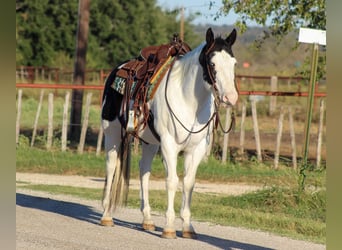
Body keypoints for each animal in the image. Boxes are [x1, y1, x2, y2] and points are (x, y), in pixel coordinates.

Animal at [99, 26, 238, 238]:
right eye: (212, 63)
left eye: (234, 63)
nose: (231, 97)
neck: (189, 101)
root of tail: (118, 69)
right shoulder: (169, 145)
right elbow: (172, 181)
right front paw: (169, 227)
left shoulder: (196, 149)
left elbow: (188, 182)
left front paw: (187, 227)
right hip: (113, 134)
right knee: (111, 166)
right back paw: (106, 215)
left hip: (150, 142)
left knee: (144, 170)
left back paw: (147, 220)